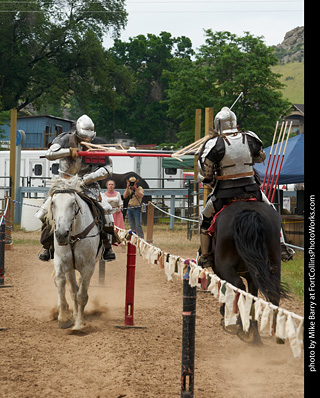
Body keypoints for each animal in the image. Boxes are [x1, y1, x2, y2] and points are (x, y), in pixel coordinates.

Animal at [47, 177, 102, 330]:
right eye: (53, 203)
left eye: (72, 203)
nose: (61, 235)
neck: (73, 237)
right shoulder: (61, 262)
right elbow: (61, 282)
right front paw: (64, 318)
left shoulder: (89, 266)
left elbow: (82, 295)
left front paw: (79, 323)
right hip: (71, 268)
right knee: (73, 290)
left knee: (79, 289)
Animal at [212, 201, 290, 344]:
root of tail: (249, 213)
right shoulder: (253, 277)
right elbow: (253, 297)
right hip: (273, 266)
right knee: (273, 294)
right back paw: (273, 335)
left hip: (225, 266)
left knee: (238, 287)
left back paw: (241, 327)